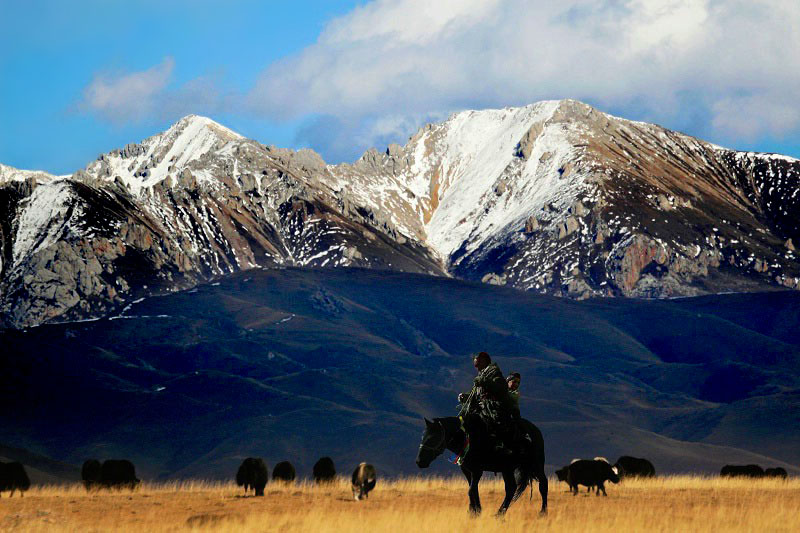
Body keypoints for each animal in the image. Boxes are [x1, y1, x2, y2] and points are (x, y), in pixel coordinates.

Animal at [416, 414, 548, 512]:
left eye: (433, 438)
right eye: (423, 436)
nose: (419, 461)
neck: (468, 436)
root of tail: (536, 430)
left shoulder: (477, 470)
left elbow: (471, 490)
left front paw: (475, 512)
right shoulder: (467, 470)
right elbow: (472, 489)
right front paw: (474, 511)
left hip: (536, 464)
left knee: (543, 484)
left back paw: (542, 513)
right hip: (507, 469)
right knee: (511, 488)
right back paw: (499, 514)